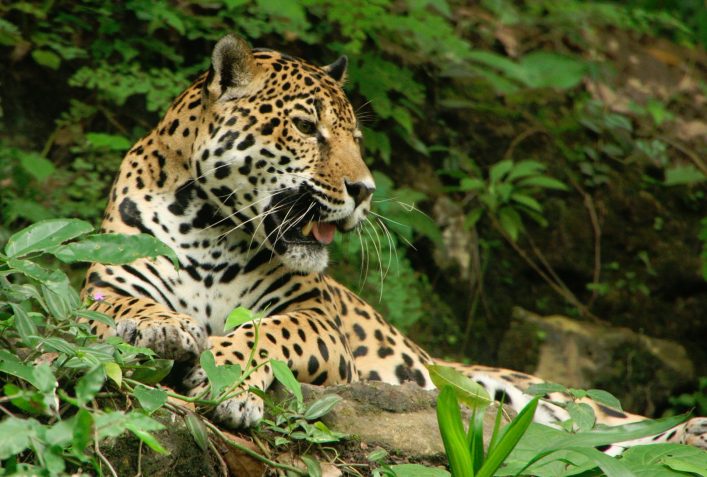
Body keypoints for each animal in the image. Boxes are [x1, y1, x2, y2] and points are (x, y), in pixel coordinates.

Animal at [83, 34, 706, 455]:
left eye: (356, 138)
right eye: (306, 127)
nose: (365, 190)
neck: (211, 227)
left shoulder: (315, 317)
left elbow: (266, 333)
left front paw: (229, 379)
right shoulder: (102, 283)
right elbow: (126, 306)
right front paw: (166, 327)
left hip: (556, 403)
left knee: (619, 428)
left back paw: (691, 430)